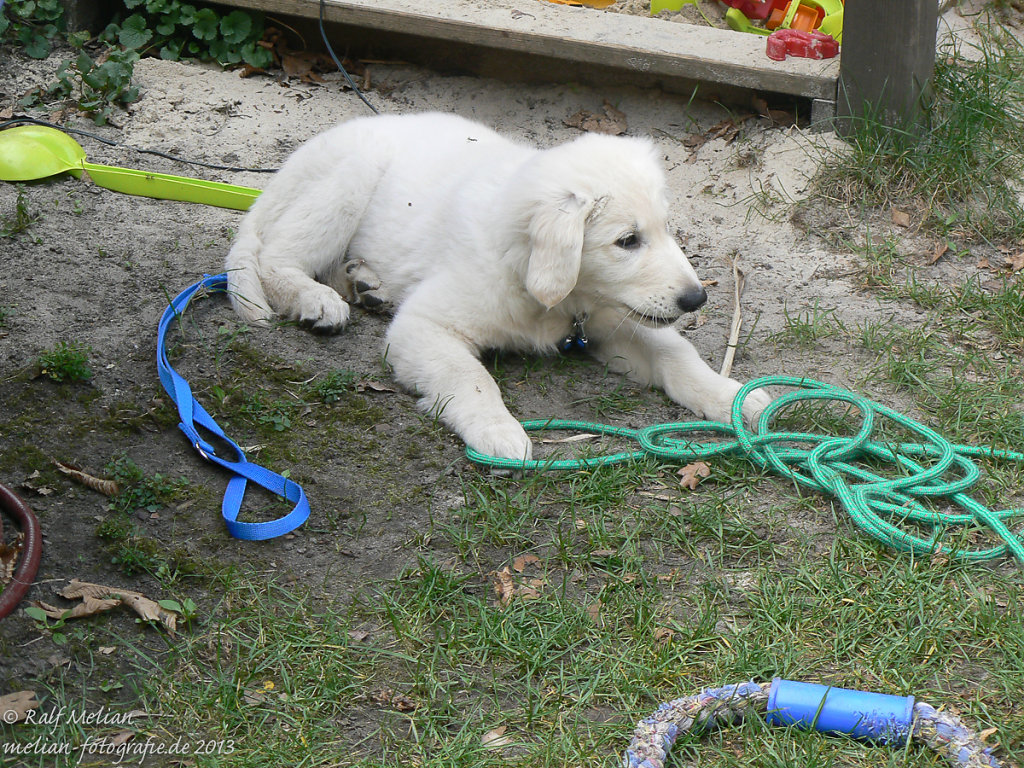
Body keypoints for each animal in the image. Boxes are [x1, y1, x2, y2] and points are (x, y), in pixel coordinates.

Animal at [226, 111, 770, 460]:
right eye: (627, 241)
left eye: (666, 229)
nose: (696, 298)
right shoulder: (424, 325)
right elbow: (470, 377)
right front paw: (498, 431)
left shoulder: (611, 320)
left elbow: (676, 354)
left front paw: (731, 397)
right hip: (345, 185)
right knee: (277, 256)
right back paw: (318, 300)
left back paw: (366, 284)